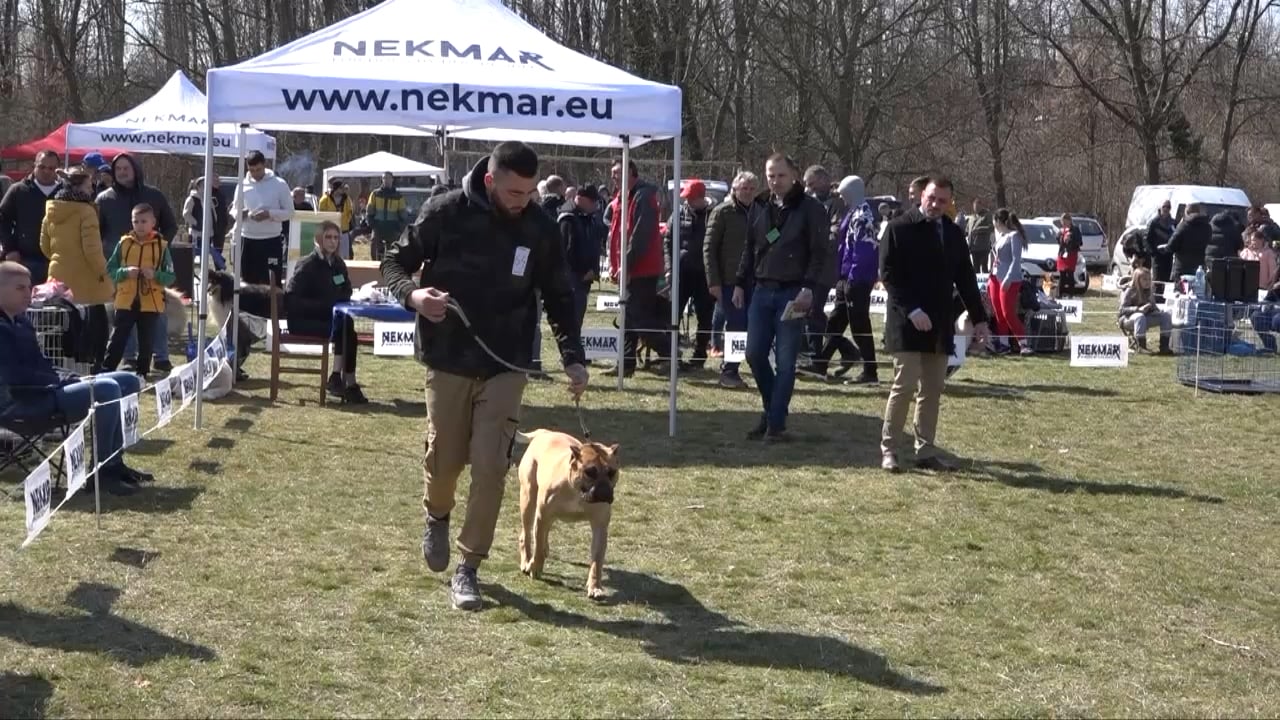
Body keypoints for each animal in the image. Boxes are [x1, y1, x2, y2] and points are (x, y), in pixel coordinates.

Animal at [514, 429, 621, 599]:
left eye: (612, 472)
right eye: (590, 472)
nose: (604, 491)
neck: (577, 492)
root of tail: (544, 432)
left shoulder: (600, 526)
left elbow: (597, 560)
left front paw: (595, 587)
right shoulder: (543, 515)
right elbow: (537, 546)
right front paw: (535, 567)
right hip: (528, 499)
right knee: (526, 535)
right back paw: (526, 561)